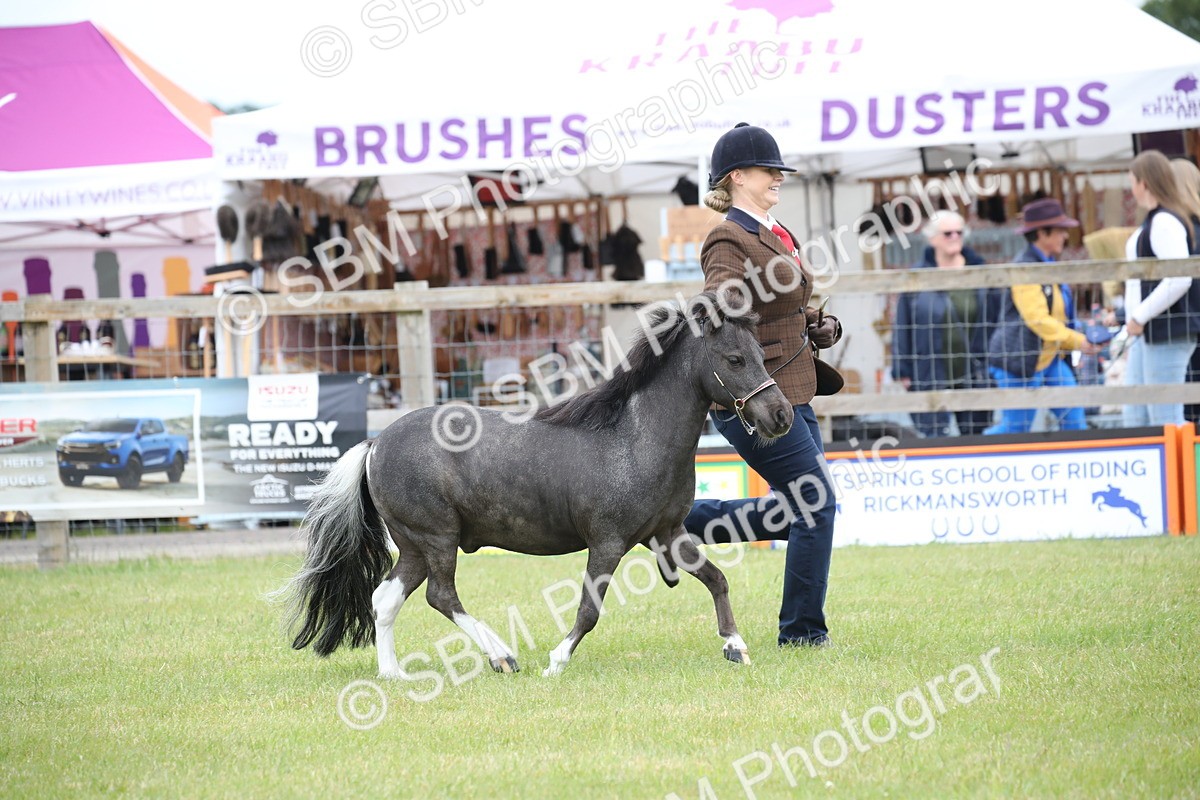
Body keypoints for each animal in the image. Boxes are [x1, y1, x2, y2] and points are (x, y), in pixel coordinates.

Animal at [277, 290, 794, 677]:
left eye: (761, 354)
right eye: (734, 358)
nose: (781, 416)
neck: (634, 437)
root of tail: (375, 443)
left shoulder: (667, 534)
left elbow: (716, 579)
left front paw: (735, 646)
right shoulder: (608, 542)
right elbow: (589, 609)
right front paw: (556, 660)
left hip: (414, 546)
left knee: (385, 599)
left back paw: (394, 673)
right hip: (436, 537)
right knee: (440, 596)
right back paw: (501, 655)